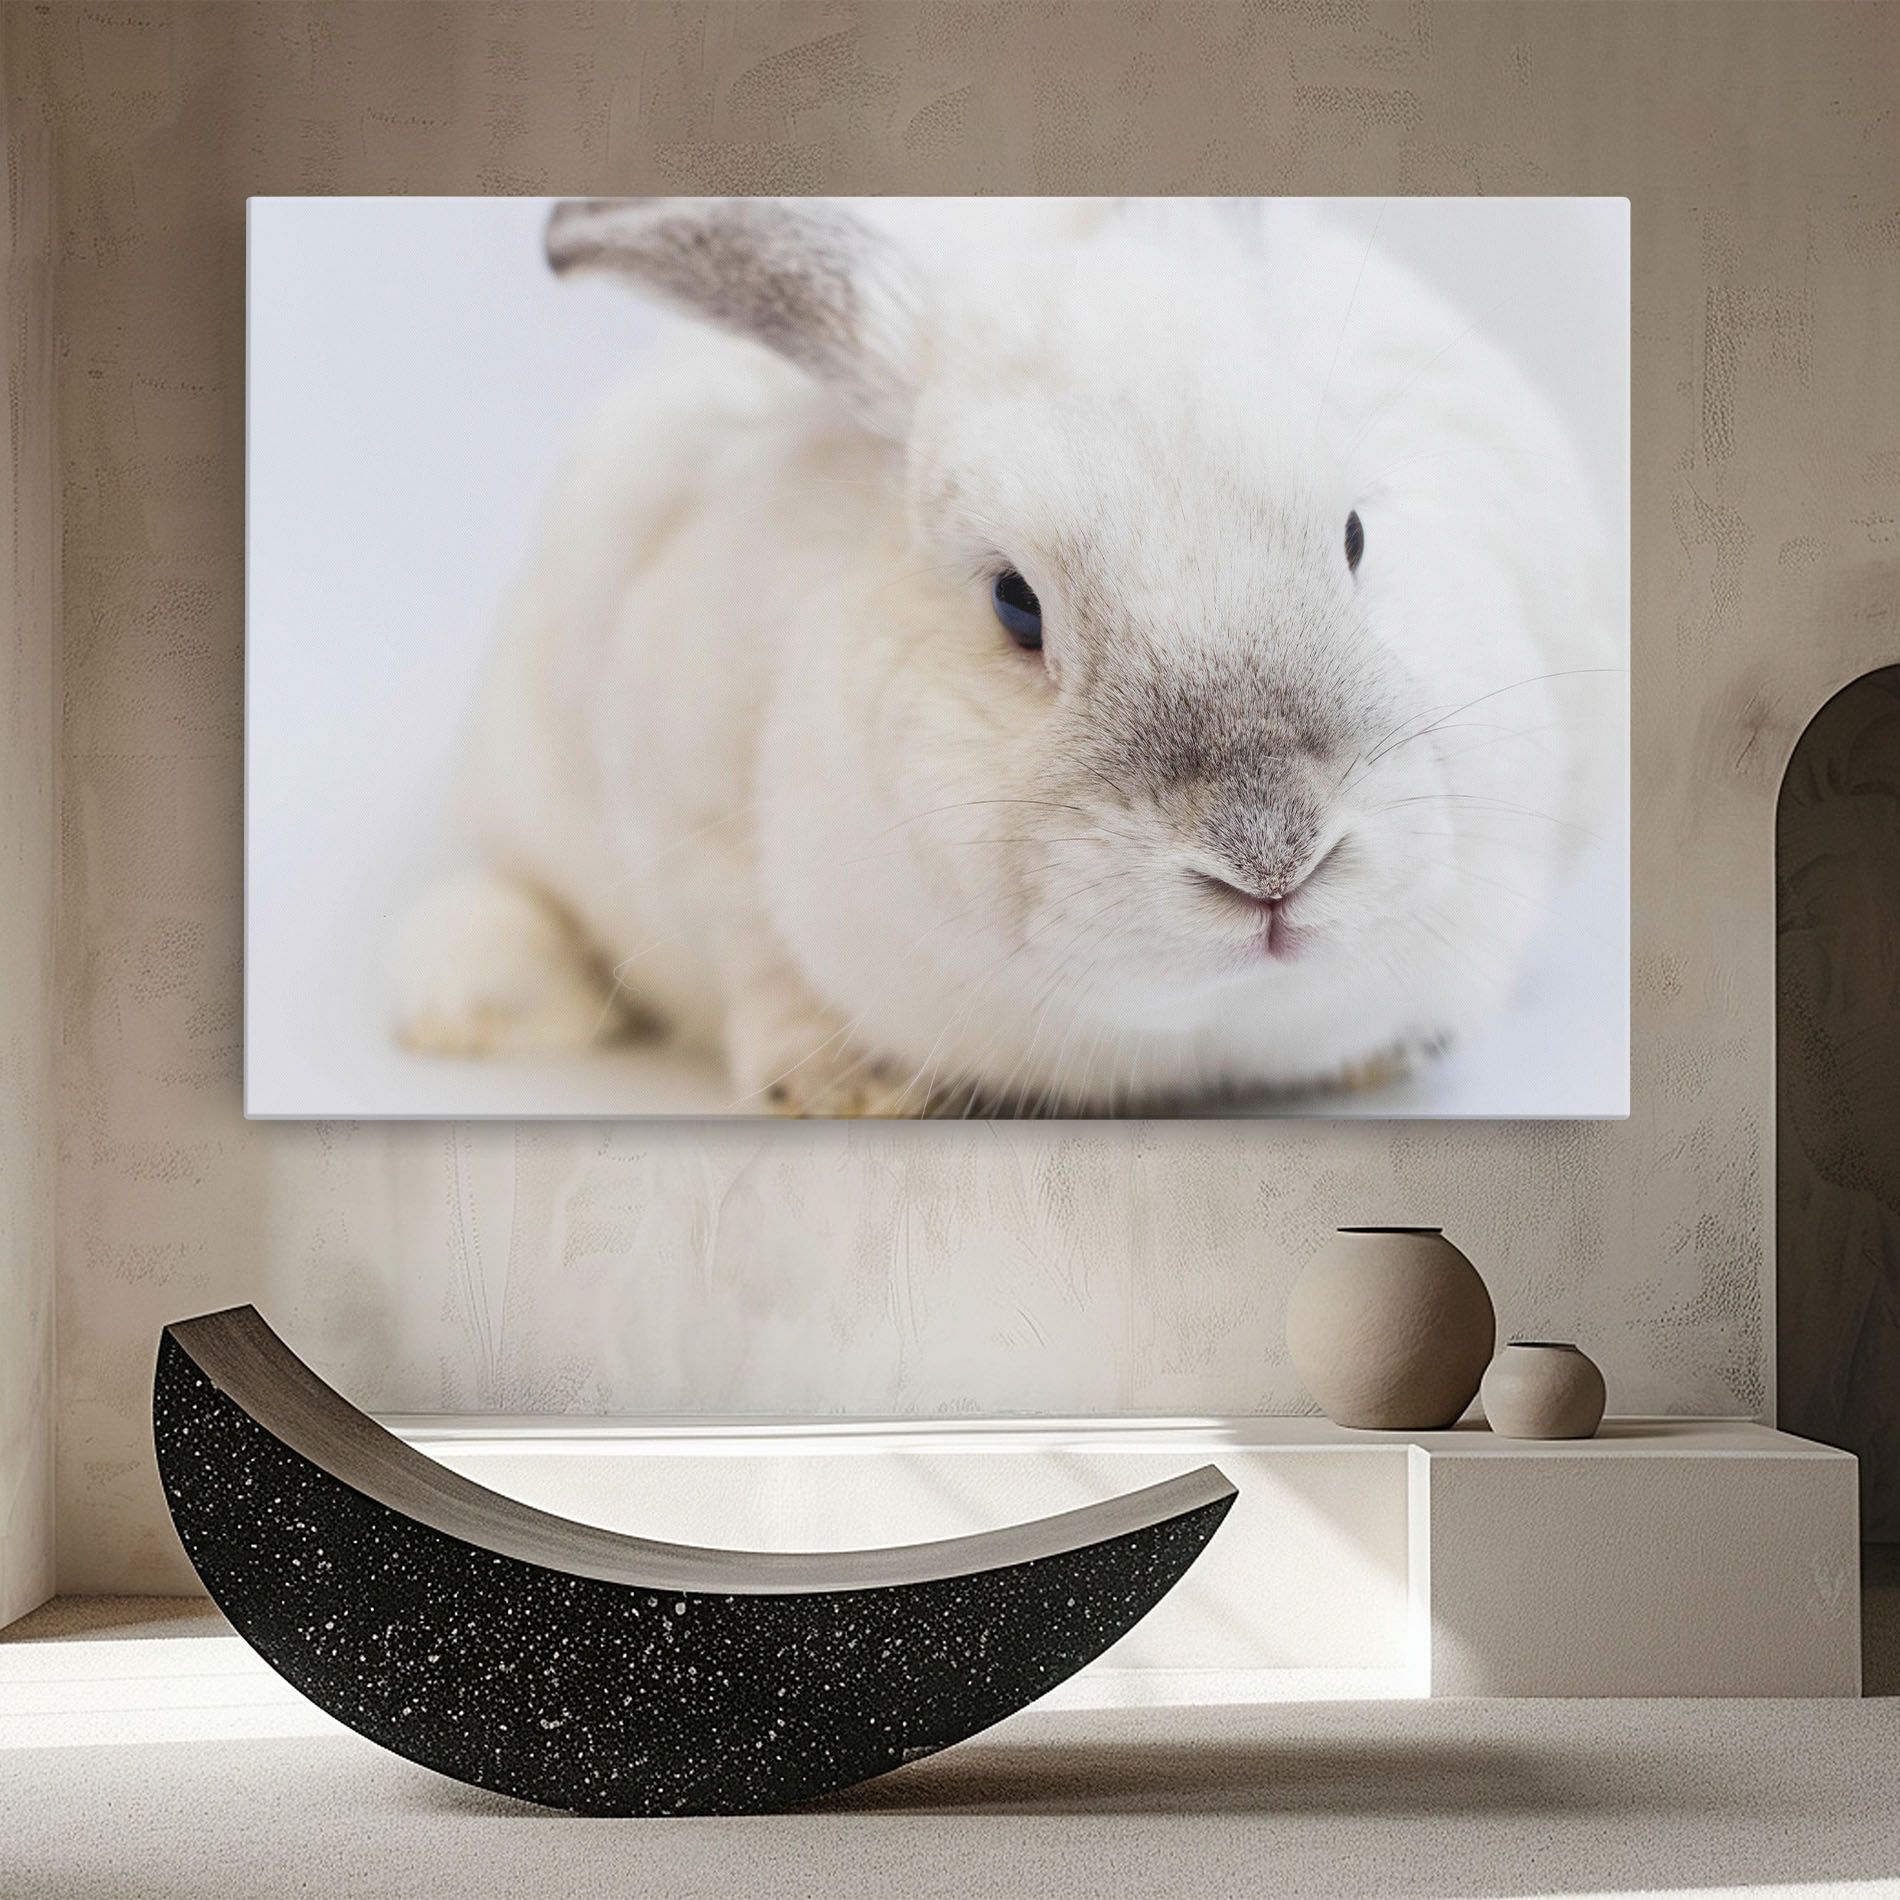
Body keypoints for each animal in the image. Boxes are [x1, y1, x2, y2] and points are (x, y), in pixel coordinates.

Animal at [393, 196, 1622, 1116]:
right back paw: (465, 1011)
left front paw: (1390, 1051)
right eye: (1015, 604)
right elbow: (758, 963)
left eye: (1357, 534)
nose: (1273, 858)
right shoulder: (688, 820)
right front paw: (846, 1085)